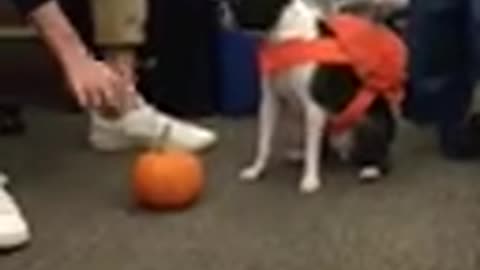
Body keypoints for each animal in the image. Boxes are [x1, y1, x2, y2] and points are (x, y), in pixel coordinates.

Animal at [231, 0, 406, 193]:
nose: (225, 11)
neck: (284, 36)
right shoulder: (270, 101)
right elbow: (264, 142)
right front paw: (256, 169)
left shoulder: (313, 106)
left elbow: (311, 150)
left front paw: (310, 179)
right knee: (322, 148)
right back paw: (300, 155)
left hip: (367, 122)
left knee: (383, 157)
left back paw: (371, 170)